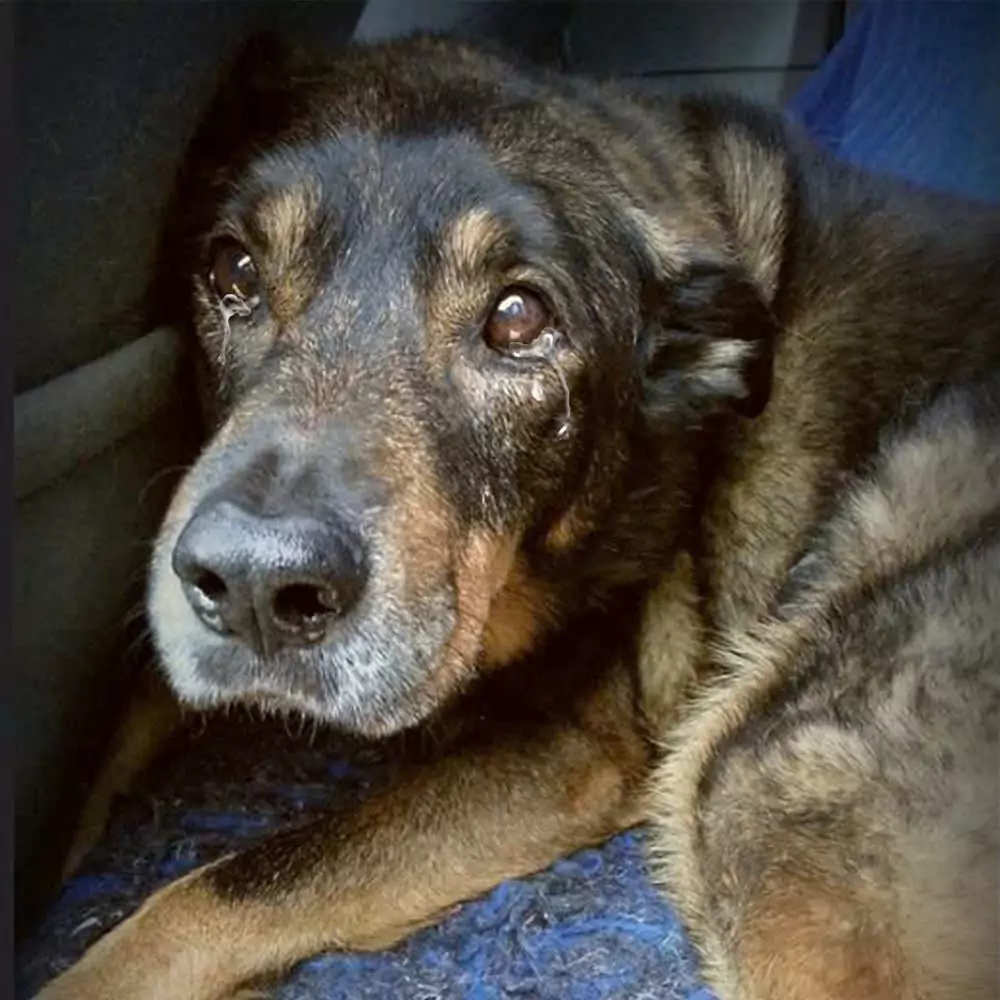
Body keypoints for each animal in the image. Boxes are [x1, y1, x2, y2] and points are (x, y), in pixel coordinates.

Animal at [33, 35, 1000, 996]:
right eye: (232, 271)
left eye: (518, 319)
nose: (254, 587)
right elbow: (133, 709)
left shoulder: (570, 749)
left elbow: (220, 890)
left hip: (759, 776)